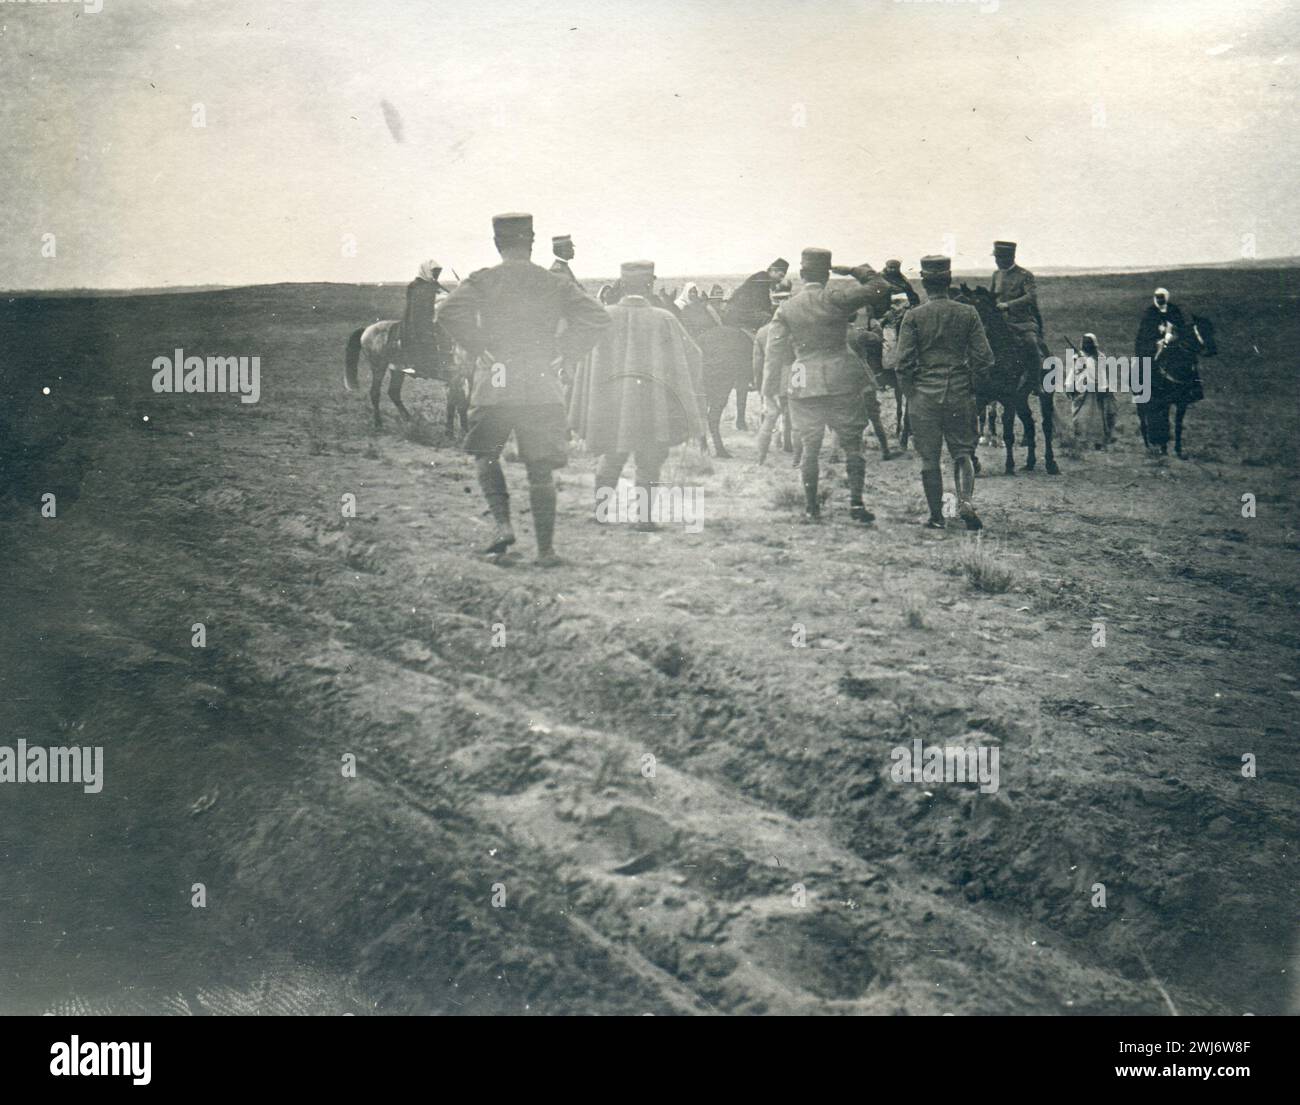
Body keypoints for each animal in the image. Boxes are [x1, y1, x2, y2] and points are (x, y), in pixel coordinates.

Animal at [956, 284, 1055, 473]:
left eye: (976, 305)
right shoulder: (978, 398)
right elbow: (972, 432)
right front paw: (975, 463)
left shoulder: (1008, 399)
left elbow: (1008, 434)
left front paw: (1009, 465)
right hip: (1020, 399)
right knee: (1029, 424)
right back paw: (1030, 463)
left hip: (1044, 396)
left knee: (1046, 426)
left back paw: (1051, 463)